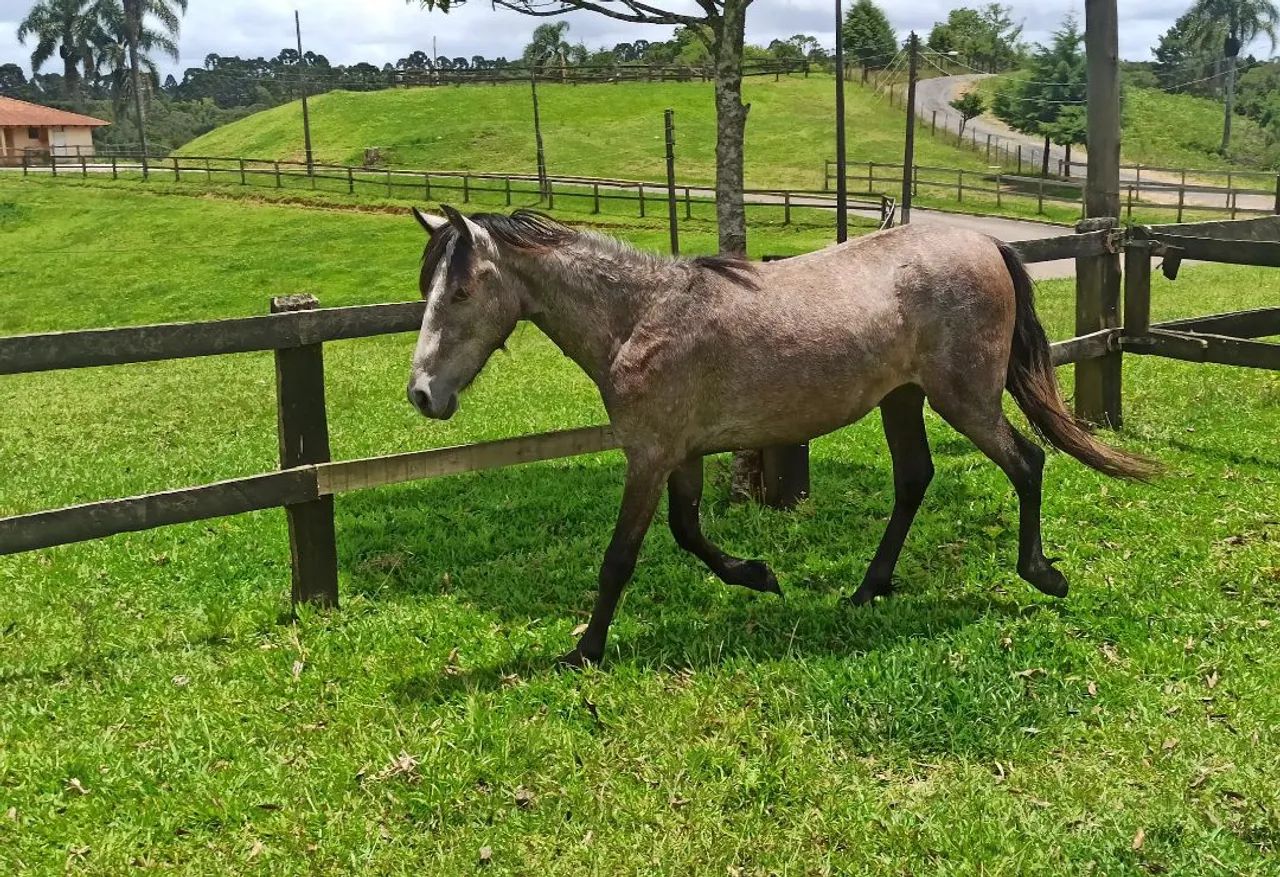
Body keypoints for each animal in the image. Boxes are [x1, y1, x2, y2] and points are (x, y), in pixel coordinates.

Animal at [405, 206, 1154, 669]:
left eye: (462, 291)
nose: (422, 394)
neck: (640, 316)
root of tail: (986, 244)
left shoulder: (648, 455)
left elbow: (620, 557)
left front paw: (585, 650)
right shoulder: (680, 455)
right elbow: (688, 534)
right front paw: (760, 575)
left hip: (964, 400)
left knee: (1028, 461)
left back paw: (1041, 573)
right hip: (903, 400)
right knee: (915, 479)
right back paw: (867, 589)